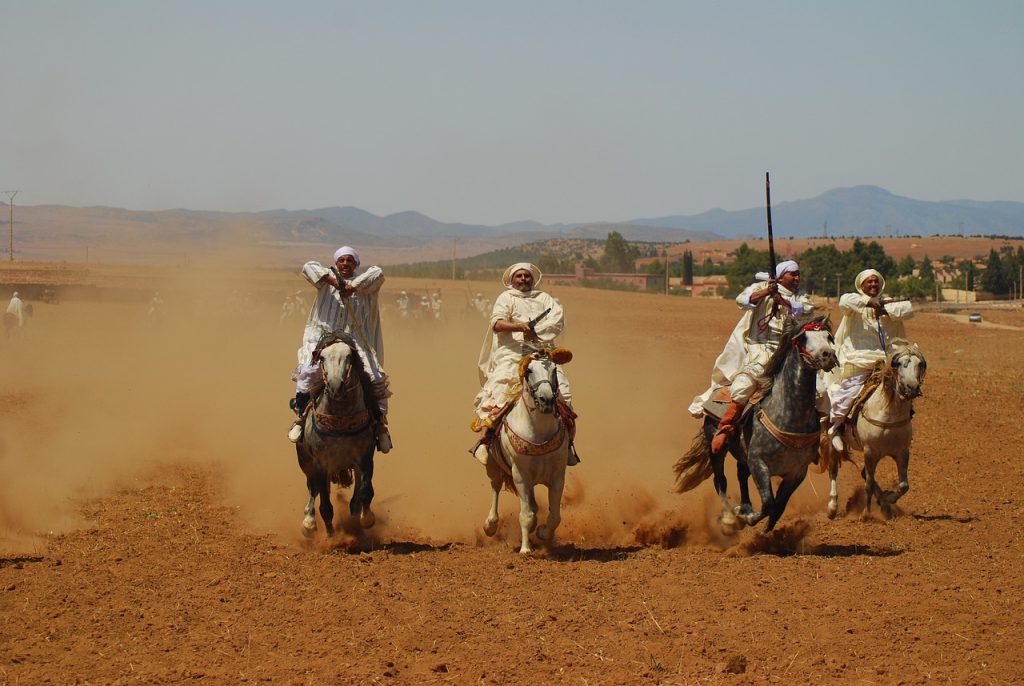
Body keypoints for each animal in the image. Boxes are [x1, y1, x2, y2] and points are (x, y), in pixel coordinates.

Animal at [294, 335, 378, 540]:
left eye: (349, 356)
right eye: (322, 358)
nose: (335, 386)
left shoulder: (365, 457)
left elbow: (365, 492)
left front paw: (365, 521)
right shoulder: (320, 464)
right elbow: (325, 505)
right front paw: (332, 538)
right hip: (306, 462)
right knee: (313, 489)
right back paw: (309, 523)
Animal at [481, 344, 573, 552]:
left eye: (554, 369)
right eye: (529, 370)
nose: (546, 399)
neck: (538, 432)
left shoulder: (558, 475)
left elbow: (555, 515)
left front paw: (543, 533)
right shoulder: (520, 475)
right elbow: (525, 515)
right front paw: (525, 549)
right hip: (493, 465)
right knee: (495, 487)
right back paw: (490, 525)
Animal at [675, 319, 835, 536]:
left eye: (828, 337)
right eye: (803, 338)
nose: (829, 355)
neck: (788, 416)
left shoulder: (797, 472)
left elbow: (778, 506)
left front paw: (763, 529)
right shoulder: (759, 463)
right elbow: (768, 503)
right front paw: (747, 518)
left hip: (744, 454)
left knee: (741, 474)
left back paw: (744, 507)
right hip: (716, 448)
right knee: (720, 480)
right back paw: (729, 517)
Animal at [819, 341, 925, 518]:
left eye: (919, 364)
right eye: (899, 364)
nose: (912, 387)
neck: (889, 414)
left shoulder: (902, 452)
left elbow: (904, 485)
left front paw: (889, 499)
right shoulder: (869, 451)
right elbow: (868, 484)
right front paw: (866, 514)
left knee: (864, 473)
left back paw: (885, 506)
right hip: (832, 441)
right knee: (833, 470)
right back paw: (832, 507)